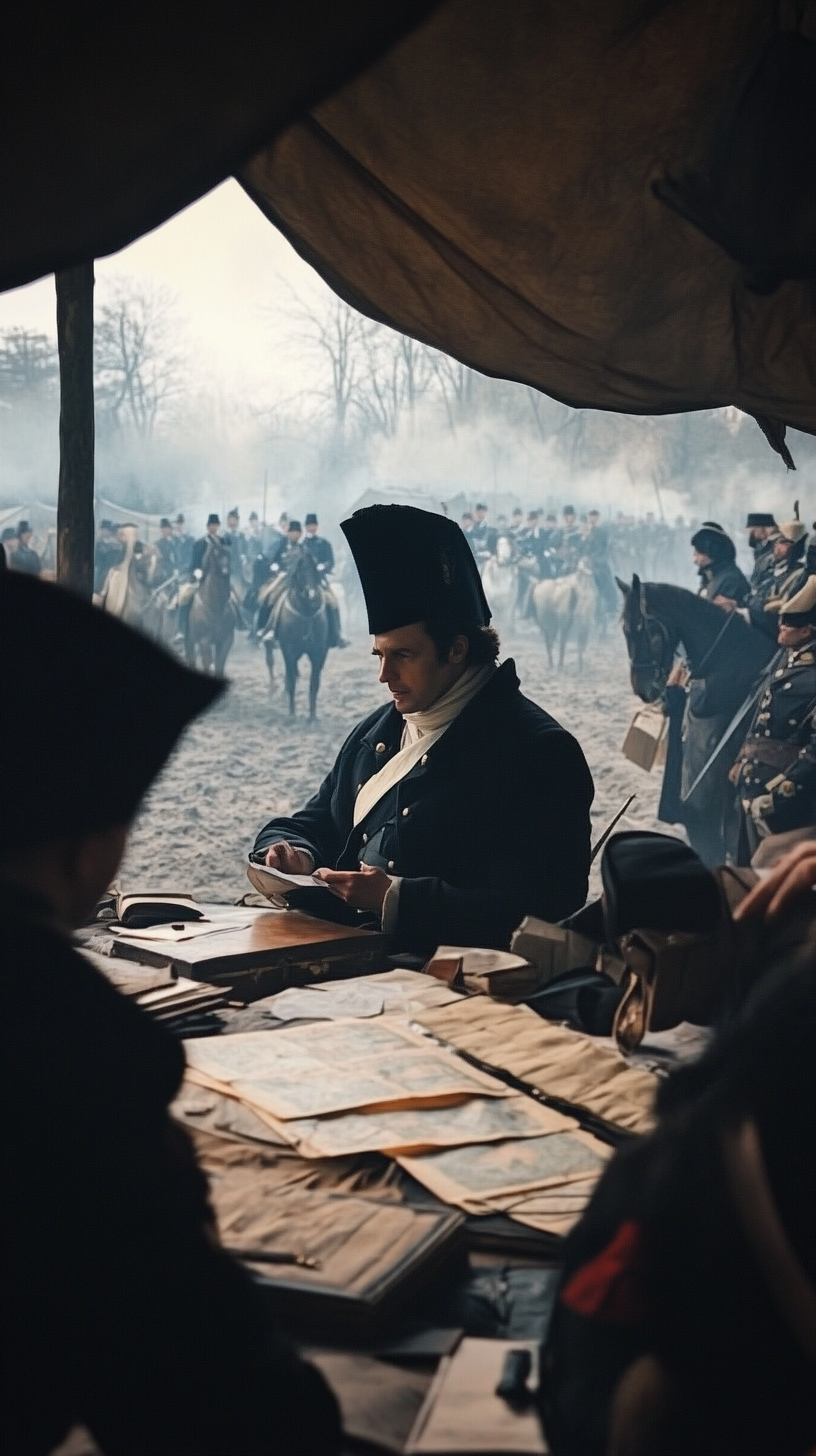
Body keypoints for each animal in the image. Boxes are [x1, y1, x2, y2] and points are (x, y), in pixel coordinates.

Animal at [185, 532, 234, 672]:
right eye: (215, 553)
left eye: (229, 553)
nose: (226, 572)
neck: (216, 606)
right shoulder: (204, 642)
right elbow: (207, 666)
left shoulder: (225, 641)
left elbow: (219, 667)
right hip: (191, 640)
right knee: (191, 658)